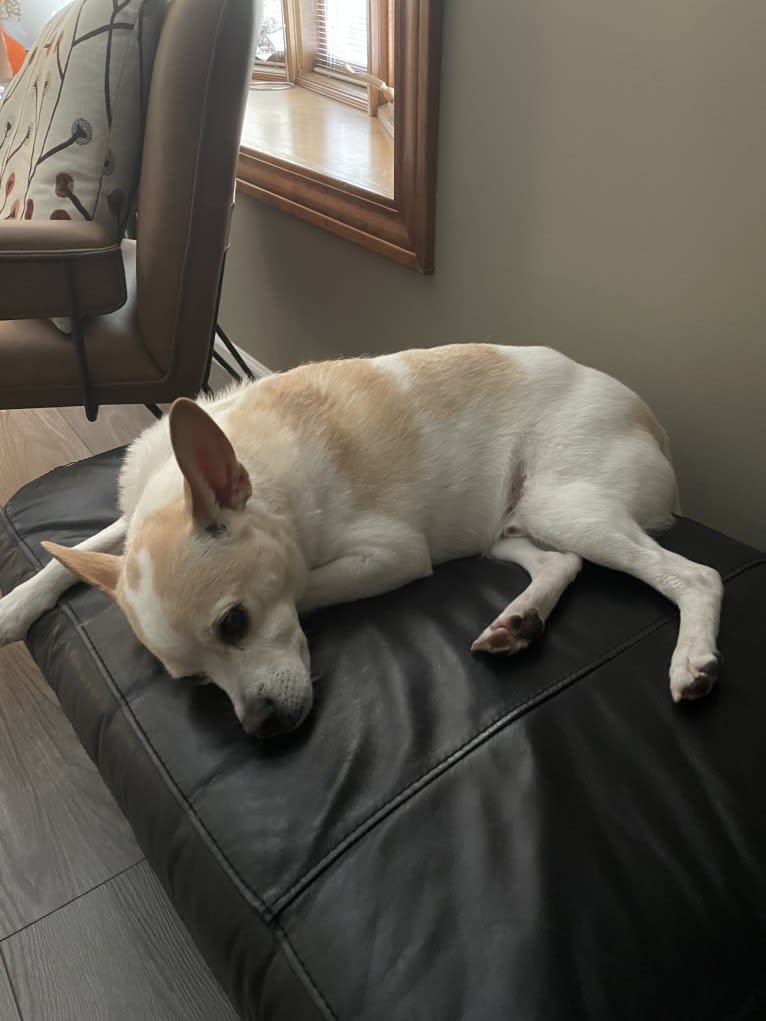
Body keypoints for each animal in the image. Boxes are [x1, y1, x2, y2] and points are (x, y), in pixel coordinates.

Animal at [0, 347, 727, 739]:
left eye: (235, 624)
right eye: (194, 680)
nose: (259, 726)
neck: (257, 469)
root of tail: (652, 422)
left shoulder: (394, 554)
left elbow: (303, 586)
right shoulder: (138, 517)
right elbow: (94, 540)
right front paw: (18, 600)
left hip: (565, 504)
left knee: (697, 576)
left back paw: (692, 659)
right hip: (509, 527)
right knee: (561, 563)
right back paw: (518, 621)